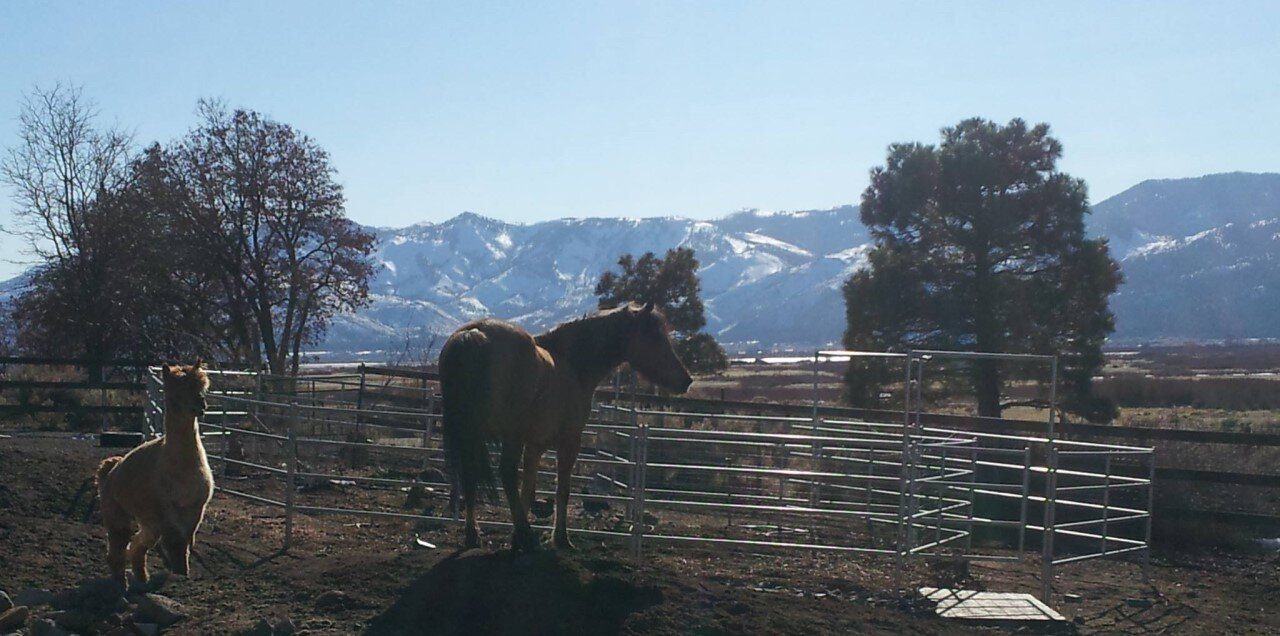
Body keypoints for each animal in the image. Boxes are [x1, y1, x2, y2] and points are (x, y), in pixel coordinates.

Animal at [445, 299, 696, 547]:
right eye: (655, 336)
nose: (686, 380)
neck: (573, 365)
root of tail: (474, 333)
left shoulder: (534, 445)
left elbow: (528, 488)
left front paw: (516, 537)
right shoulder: (569, 441)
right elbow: (562, 490)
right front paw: (560, 538)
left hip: (471, 434)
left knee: (470, 475)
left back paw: (475, 535)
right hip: (509, 437)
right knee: (505, 473)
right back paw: (527, 536)